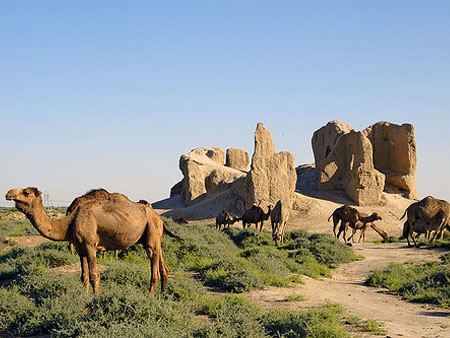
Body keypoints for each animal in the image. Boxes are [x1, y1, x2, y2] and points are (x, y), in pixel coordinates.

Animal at [4, 186, 181, 294]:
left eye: (26, 192)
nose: (9, 193)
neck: (70, 222)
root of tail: (159, 218)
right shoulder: (80, 249)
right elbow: (84, 277)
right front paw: (85, 298)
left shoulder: (90, 245)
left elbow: (95, 275)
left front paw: (95, 300)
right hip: (152, 238)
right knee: (163, 266)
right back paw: (162, 295)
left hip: (151, 235)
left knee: (154, 268)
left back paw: (150, 296)